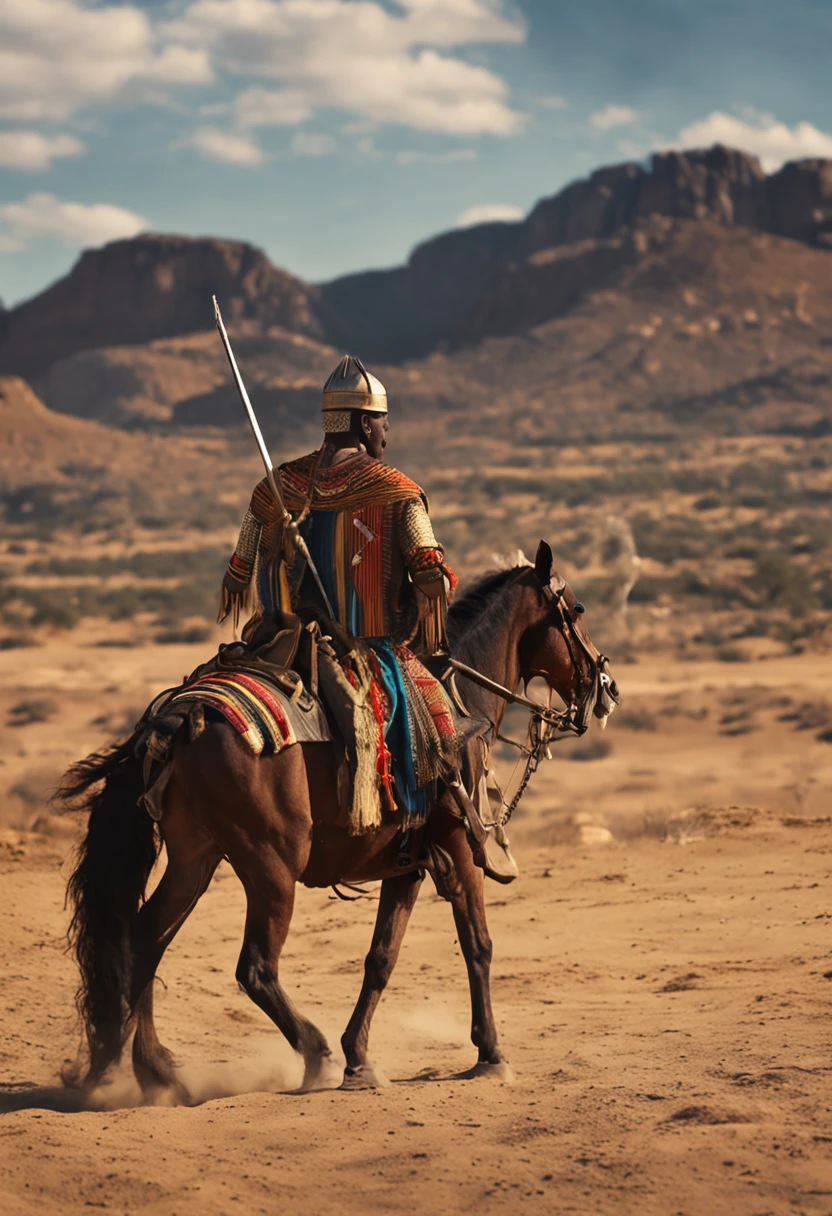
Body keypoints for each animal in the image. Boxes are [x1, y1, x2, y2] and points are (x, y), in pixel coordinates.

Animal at [58, 542, 617, 1104]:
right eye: (578, 611)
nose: (606, 688)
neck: (459, 702)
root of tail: (178, 720)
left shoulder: (407, 865)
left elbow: (381, 958)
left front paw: (360, 1057)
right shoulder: (459, 845)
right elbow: (478, 945)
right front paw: (490, 1054)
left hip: (196, 856)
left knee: (145, 940)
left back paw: (155, 1072)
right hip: (271, 863)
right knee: (253, 967)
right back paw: (315, 1054)